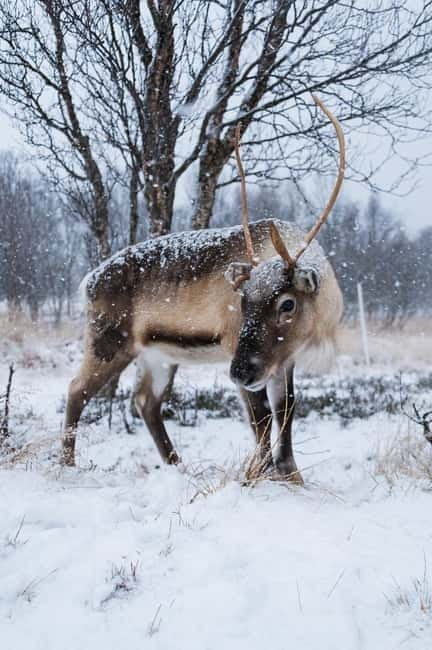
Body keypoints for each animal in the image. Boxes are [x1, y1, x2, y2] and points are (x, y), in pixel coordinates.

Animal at [62, 95, 344, 485]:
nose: (239, 372)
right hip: (109, 340)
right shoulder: (235, 348)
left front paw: (292, 476)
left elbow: (286, 409)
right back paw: (66, 464)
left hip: (158, 355)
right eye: (242, 299)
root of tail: (86, 281)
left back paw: (178, 466)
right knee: (77, 389)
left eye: (287, 304)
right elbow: (261, 417)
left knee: (145, 401)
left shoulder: (282, 359)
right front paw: (256, 475)